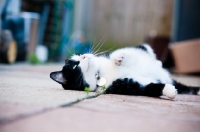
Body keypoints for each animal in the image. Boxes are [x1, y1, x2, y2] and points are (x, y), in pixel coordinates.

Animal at [50, 43, 200, 99]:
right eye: (75, 67)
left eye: (79, 54)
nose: (84, 56)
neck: (100, 73)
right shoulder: (128, 85)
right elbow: (150, 88)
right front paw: (169, 91)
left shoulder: (137, 49)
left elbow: (133, 49)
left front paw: (118, 58)